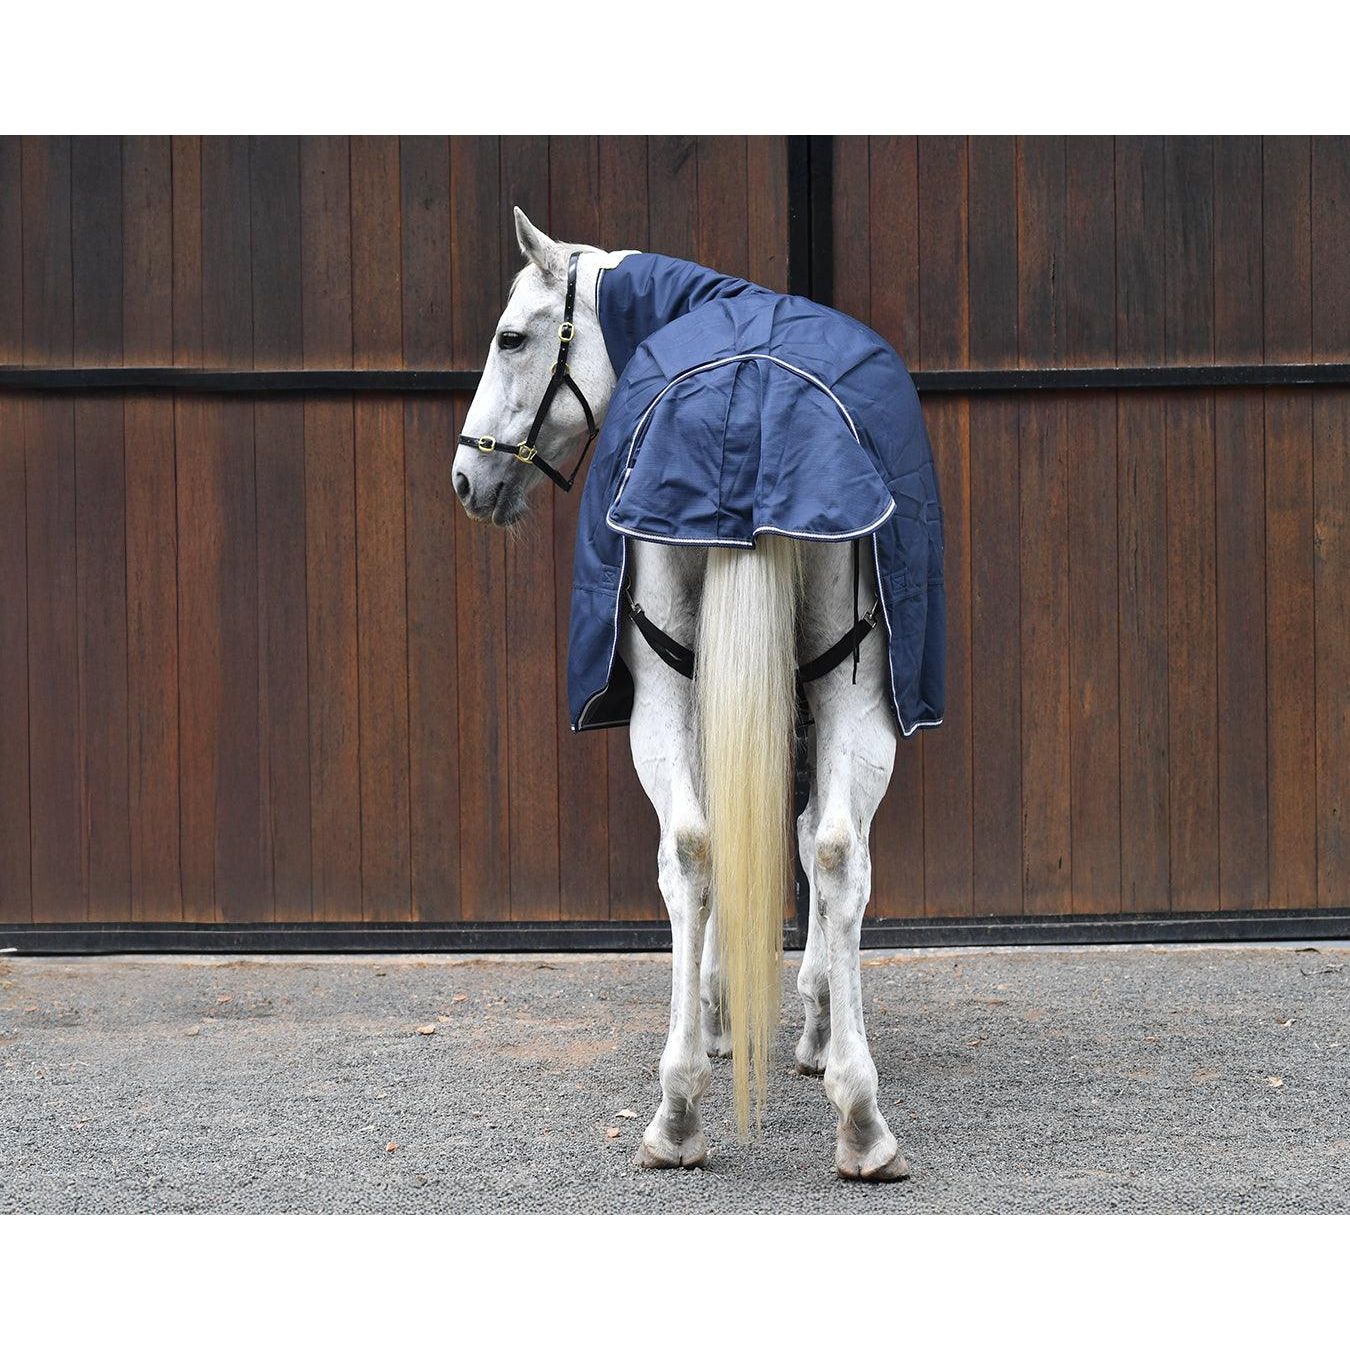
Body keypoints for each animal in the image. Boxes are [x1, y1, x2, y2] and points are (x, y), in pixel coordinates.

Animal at [451, 209, 944, 1182]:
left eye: (510, 337)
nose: (467, 478)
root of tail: (751, 392)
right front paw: (785, 1023)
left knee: (719, 850)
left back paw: (706, 1111)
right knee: (814, 852)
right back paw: (841, 1114)